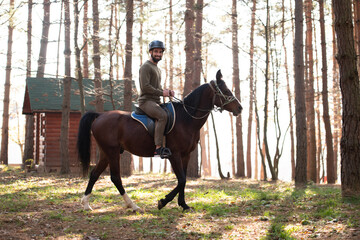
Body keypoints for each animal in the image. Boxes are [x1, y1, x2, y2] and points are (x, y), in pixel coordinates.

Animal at [78, 70, 242, 212]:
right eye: (226, 90)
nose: (240, 108)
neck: (186, 118)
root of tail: (100, 115)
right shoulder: (174, 154)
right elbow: (181, 180)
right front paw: (163, 201)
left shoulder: (186, 155)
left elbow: (183, 180)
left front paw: (183, 204)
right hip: (112, 152)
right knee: (115, 178)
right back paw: (133, 206)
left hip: (106, 152)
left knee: (94, 174)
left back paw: (86, 204)